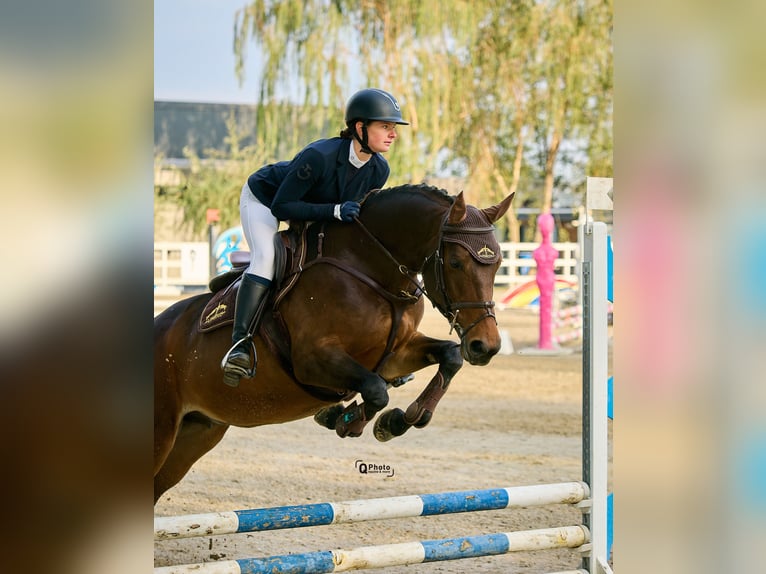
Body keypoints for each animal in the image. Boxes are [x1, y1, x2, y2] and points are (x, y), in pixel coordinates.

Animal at [154, 183, 516, 504]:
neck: (373, 271)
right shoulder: (312, 360)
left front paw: (400, 419)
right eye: (455, 262)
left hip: (199, 431)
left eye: (498, 263)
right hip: (164, 430)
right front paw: (345, 419)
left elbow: (449, 357)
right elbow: (375, 390)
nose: (486, 346)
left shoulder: (395, 356)